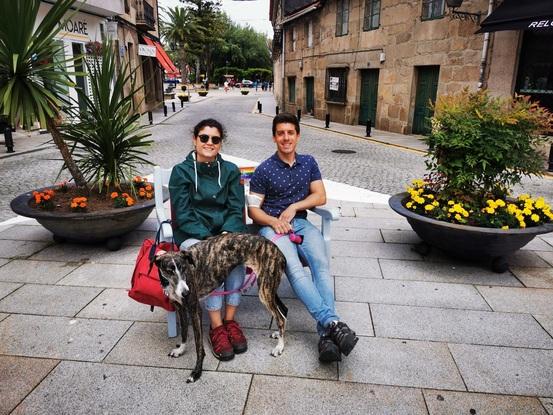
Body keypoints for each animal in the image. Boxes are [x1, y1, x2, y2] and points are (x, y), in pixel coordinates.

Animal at [153, 232, 286, 386]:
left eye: (184, 269)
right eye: (169, 271)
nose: (186, 292)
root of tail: (278, 251)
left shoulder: (194, 310)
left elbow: (199, 347)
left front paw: (196, 372)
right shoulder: (180, 308)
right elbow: (184, 332)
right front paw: (180, 349)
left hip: (265, 290)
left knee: (281, 318)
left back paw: (280, 347)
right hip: (269, 289)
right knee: (283, 311)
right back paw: (278, 335)